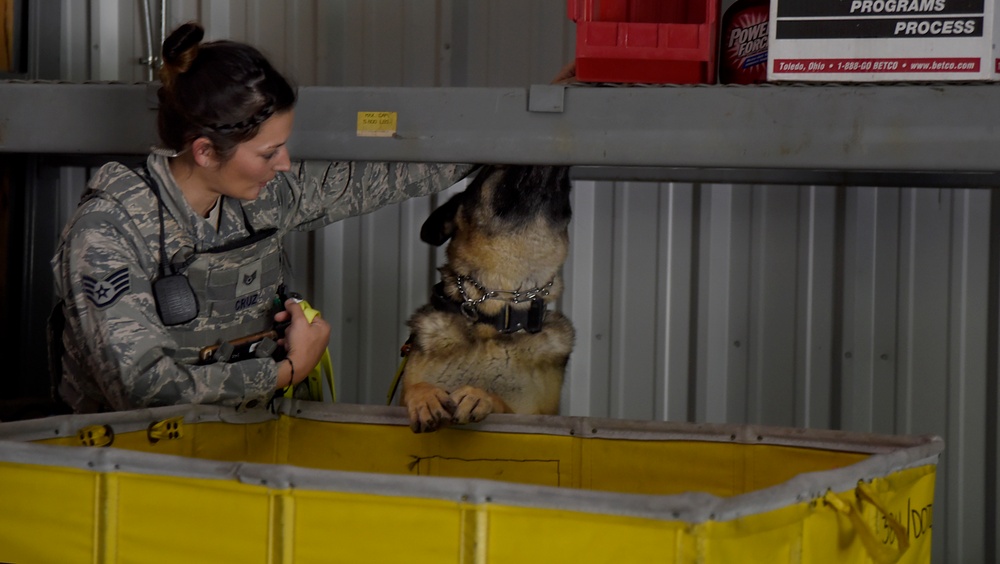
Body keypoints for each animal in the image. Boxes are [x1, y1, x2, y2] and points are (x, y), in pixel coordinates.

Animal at [396, 165, 572, 434]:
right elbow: (414, 388)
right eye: (495, 167)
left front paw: (480, 396)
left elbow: (506, 406)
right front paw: (424, 397)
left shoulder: (537, 415)